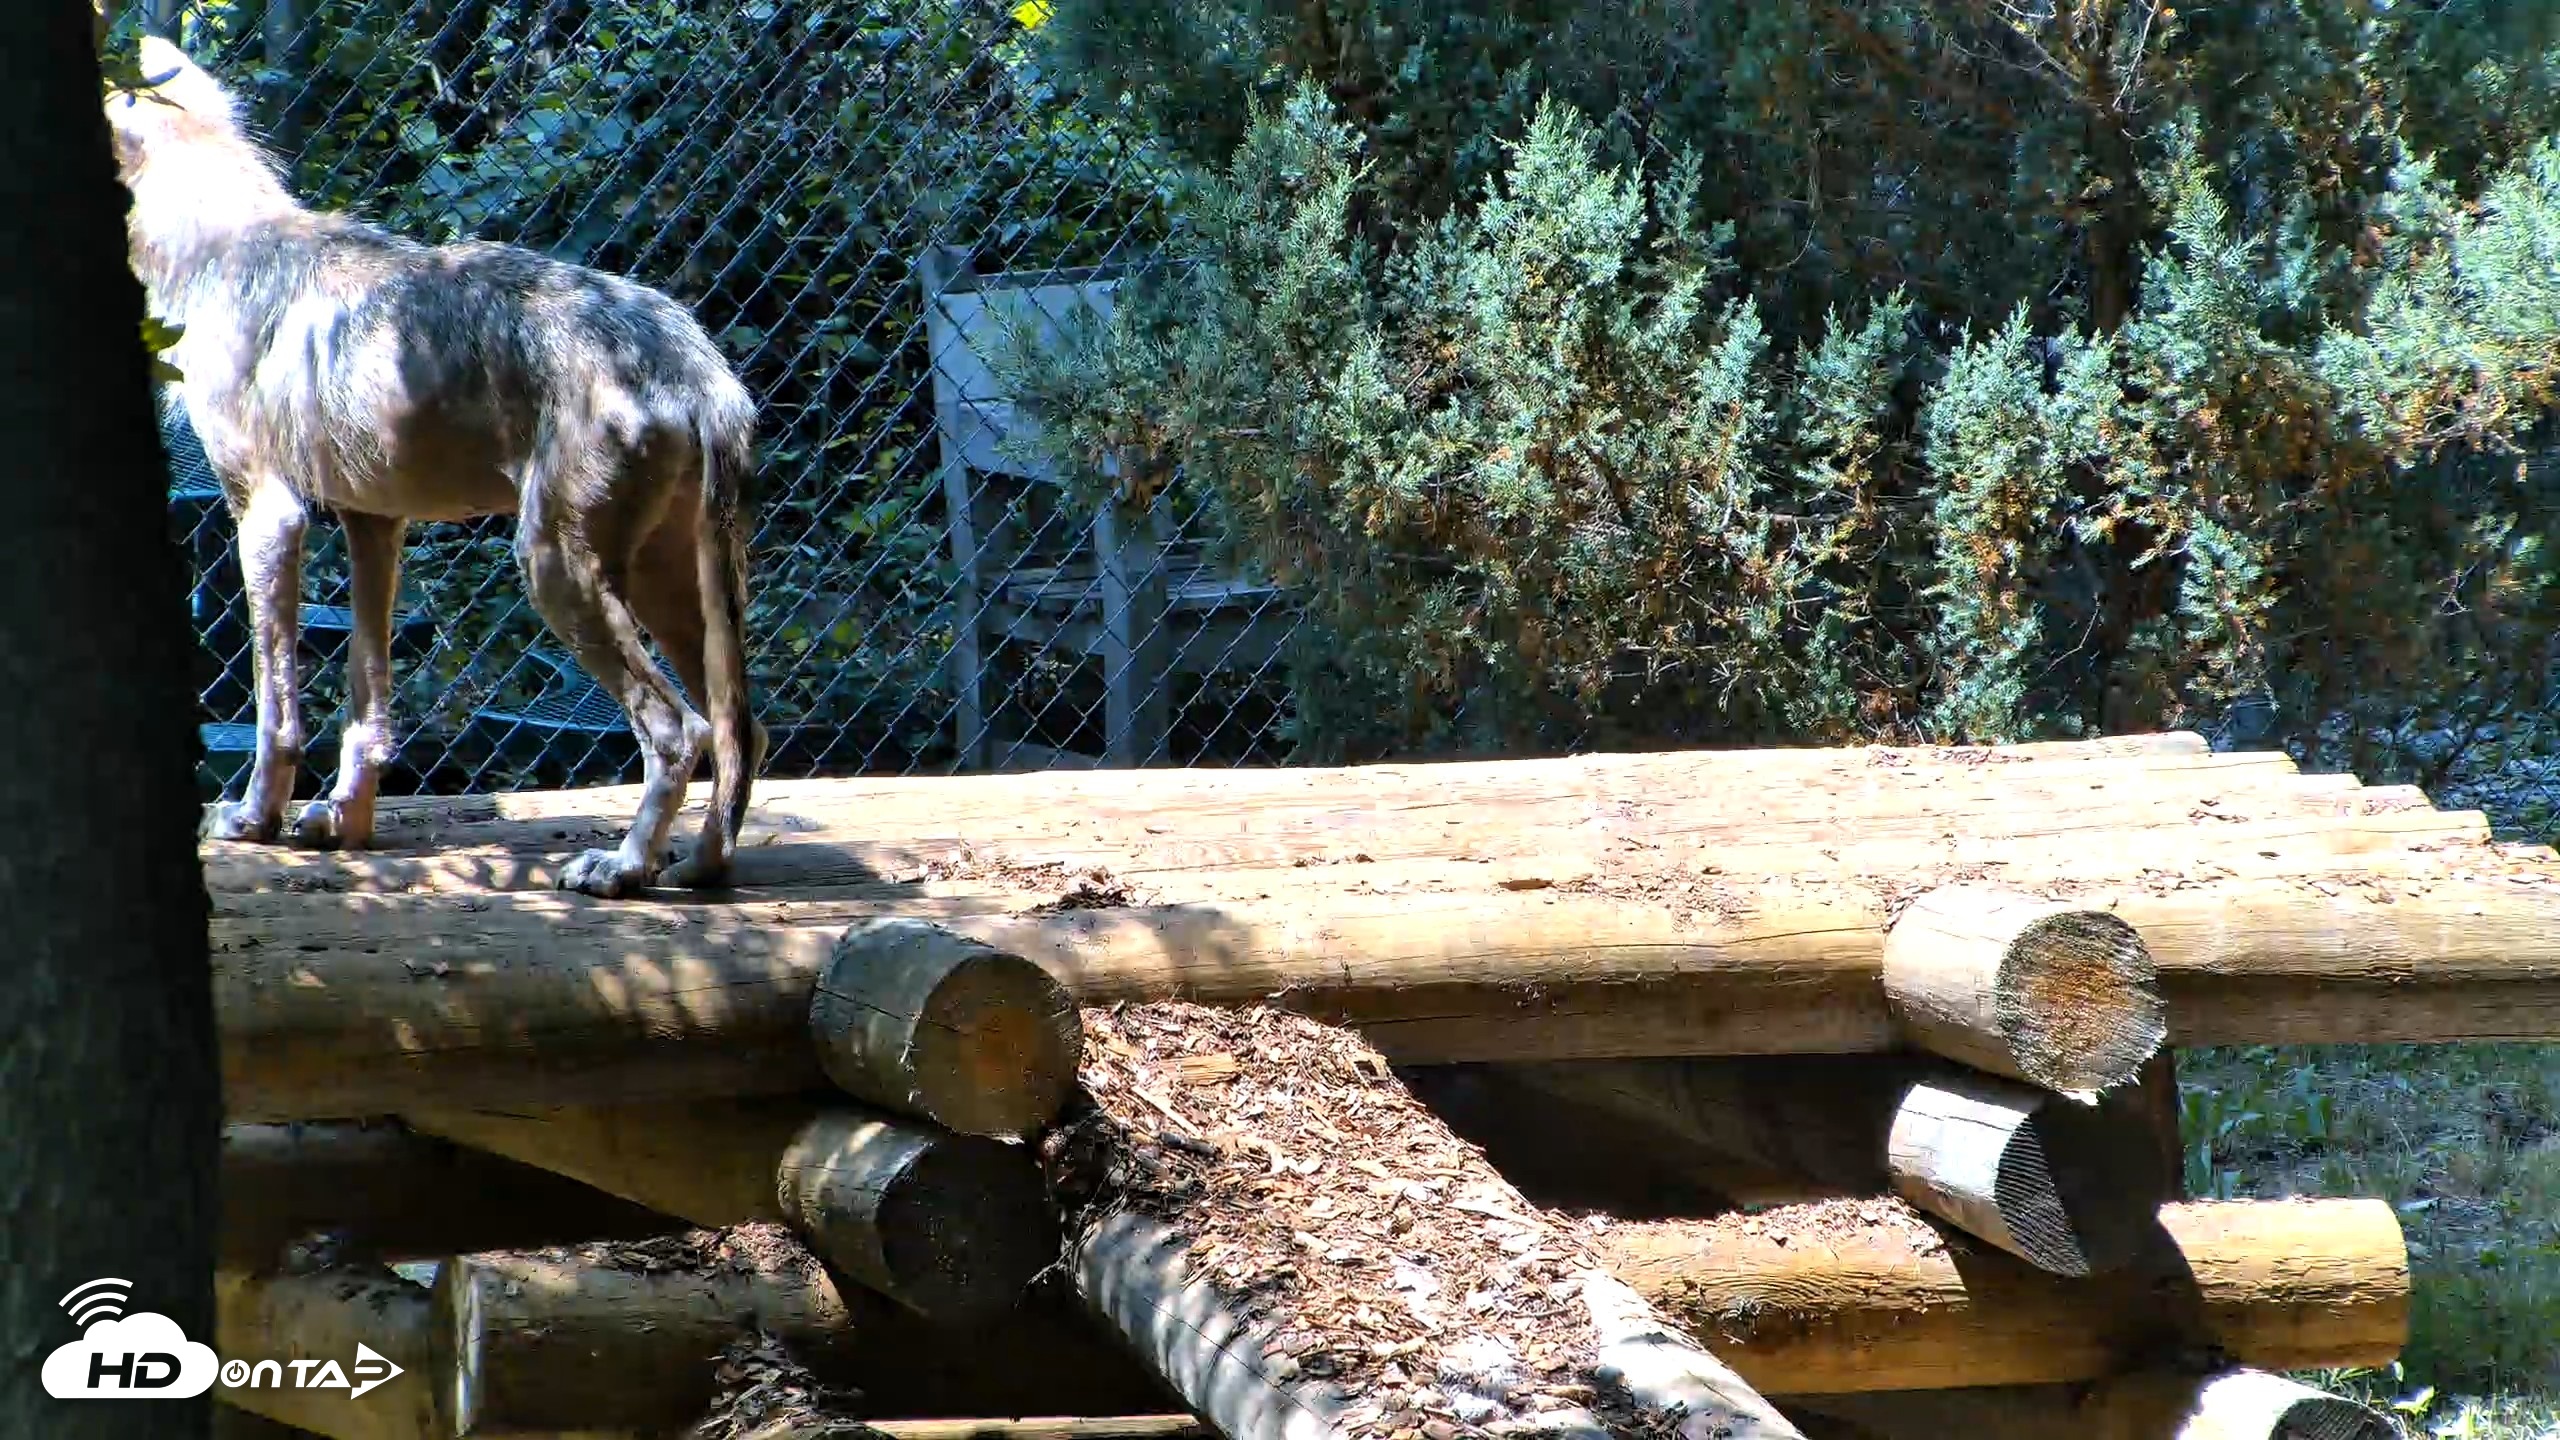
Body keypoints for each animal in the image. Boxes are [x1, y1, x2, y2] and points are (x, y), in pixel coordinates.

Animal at [106, 34, 765, 898]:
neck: (216, 244)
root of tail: (696, 360)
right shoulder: (374, 525)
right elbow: (365, 702)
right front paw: (343, 824)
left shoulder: (267, 514)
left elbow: (275, 709)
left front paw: (254, 820)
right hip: (667, 588)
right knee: (739, 729)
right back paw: (699, 866)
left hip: (555, 570)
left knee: (678, 730)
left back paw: (623, 868)